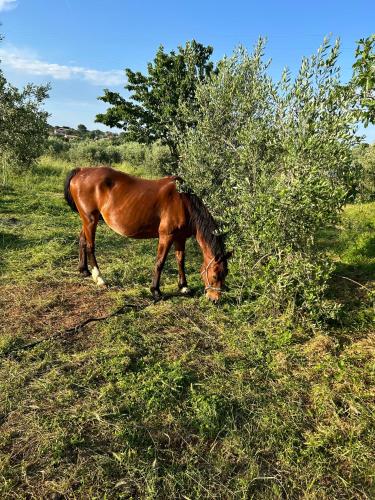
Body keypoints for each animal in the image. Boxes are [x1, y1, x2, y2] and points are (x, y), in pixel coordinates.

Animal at [63, 167, 231, 300]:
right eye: (215, 275)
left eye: (225, 274)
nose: (214, 299)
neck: (183, 202)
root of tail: (82, 171)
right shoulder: (166, 236)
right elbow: (160, 262)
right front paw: (155, 291)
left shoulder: (180, 237)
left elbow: (180, 260)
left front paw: (183, 286)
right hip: (91, 220)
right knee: (90, 246)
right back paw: (99, 278)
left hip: (88, 220)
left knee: (82, 240)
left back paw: (84, 270)